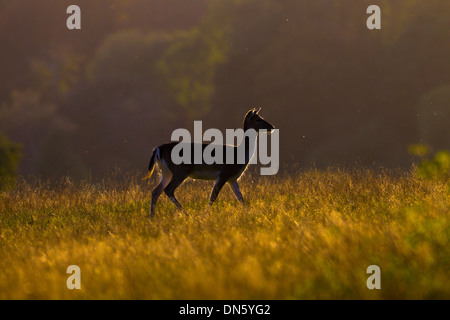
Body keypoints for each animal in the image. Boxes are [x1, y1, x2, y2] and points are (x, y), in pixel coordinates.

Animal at [143, 107, 274, 218]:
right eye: (258, 119)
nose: (272, 127)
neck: (240, 154)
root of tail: (157, 149)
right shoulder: (224, 173)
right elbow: (213, 197)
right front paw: (204, 216)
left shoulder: (233, 178)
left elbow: (240, 198)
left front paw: (250, 214)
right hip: (180, 170)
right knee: (168, 189)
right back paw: (187, 215)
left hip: (166, 172)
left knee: (156, 191)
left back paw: (152, 218)